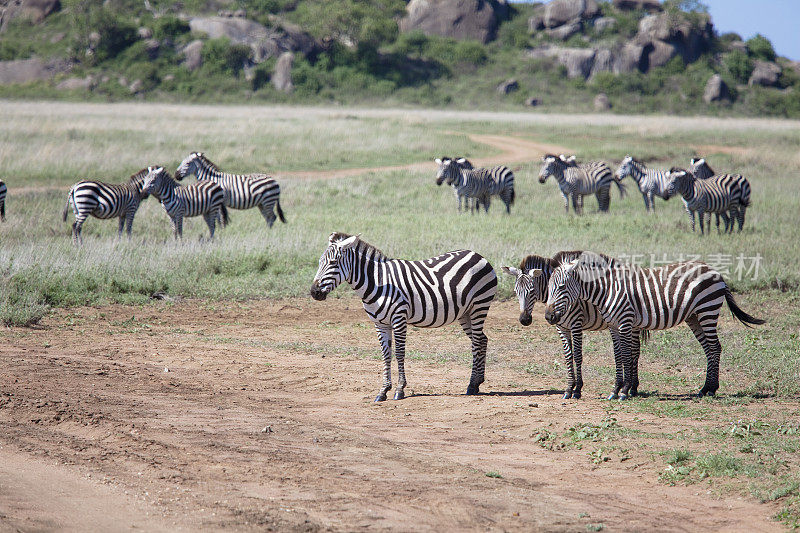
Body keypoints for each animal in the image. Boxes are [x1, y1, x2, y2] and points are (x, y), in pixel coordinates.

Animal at [310, 231, 496, 402]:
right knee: (482, 339)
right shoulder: (380, 323)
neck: (377, 281)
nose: (314, 292)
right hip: (465, 313)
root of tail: (478, 255)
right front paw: (383, 390)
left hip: (479, 305)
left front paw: (399, 389)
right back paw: (478, 382)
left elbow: (399, 353)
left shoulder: (399, 318)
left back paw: (471, 385)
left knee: (477, 342)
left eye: (333, 262)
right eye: (319, 263)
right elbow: (386, 354)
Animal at [504, 249, 648, 400]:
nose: (524, 320)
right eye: (516, 291)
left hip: (633, 324)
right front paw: (569, 388)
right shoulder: (561, 327)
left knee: (634, 351)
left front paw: (577, 389)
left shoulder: (576, 324)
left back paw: (632, 388)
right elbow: (568, 356)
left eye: (531, 291)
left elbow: (578, 355)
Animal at [544, 255, 764, 400]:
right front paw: (616, 389)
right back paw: (705, 389)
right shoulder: (613, 326)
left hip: (707, 310)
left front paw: (624, 391)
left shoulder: (625, 322)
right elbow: (618, 356)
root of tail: (715, 271)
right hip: (694, 317)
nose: (548, 316)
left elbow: (626, 355)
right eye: (548, 288)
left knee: (715, 347)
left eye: (561, 287)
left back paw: (711, 389)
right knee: (710, 349)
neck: (607, 290)